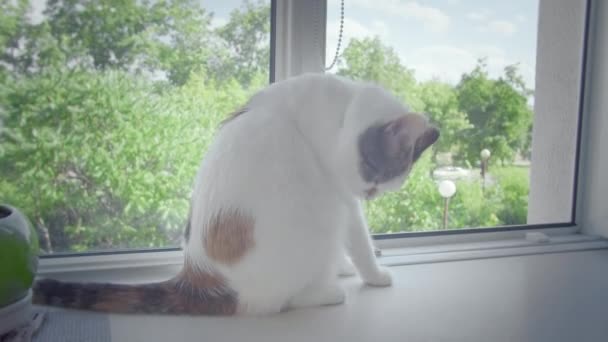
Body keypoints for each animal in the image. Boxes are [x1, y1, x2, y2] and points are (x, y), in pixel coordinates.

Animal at [33, 73, 440, 316]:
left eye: (384, 185)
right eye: (372, 172)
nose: (369, 194)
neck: (340, 110)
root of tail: (200, 277)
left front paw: (342, 267)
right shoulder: (344, 198)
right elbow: (359, 242)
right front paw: (373, 275)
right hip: (319, 222)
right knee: (277, 300)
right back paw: (327, 293)